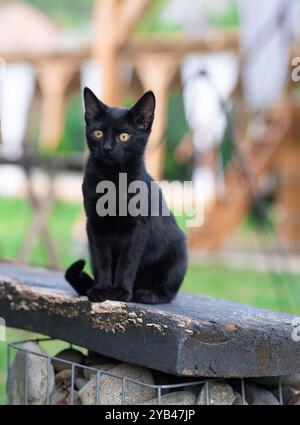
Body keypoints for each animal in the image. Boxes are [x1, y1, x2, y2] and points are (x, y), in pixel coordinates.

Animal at [65, 88, 188, 304]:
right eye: (98, 133)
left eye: (124, 136)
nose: (107, 148)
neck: (113, 179)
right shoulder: (95, 225)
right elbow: (103, 260)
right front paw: (101, 290)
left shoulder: (138, 227)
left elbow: (127, 262)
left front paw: (120, 291)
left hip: (179, 250)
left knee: (169, 292)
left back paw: (147, 294)